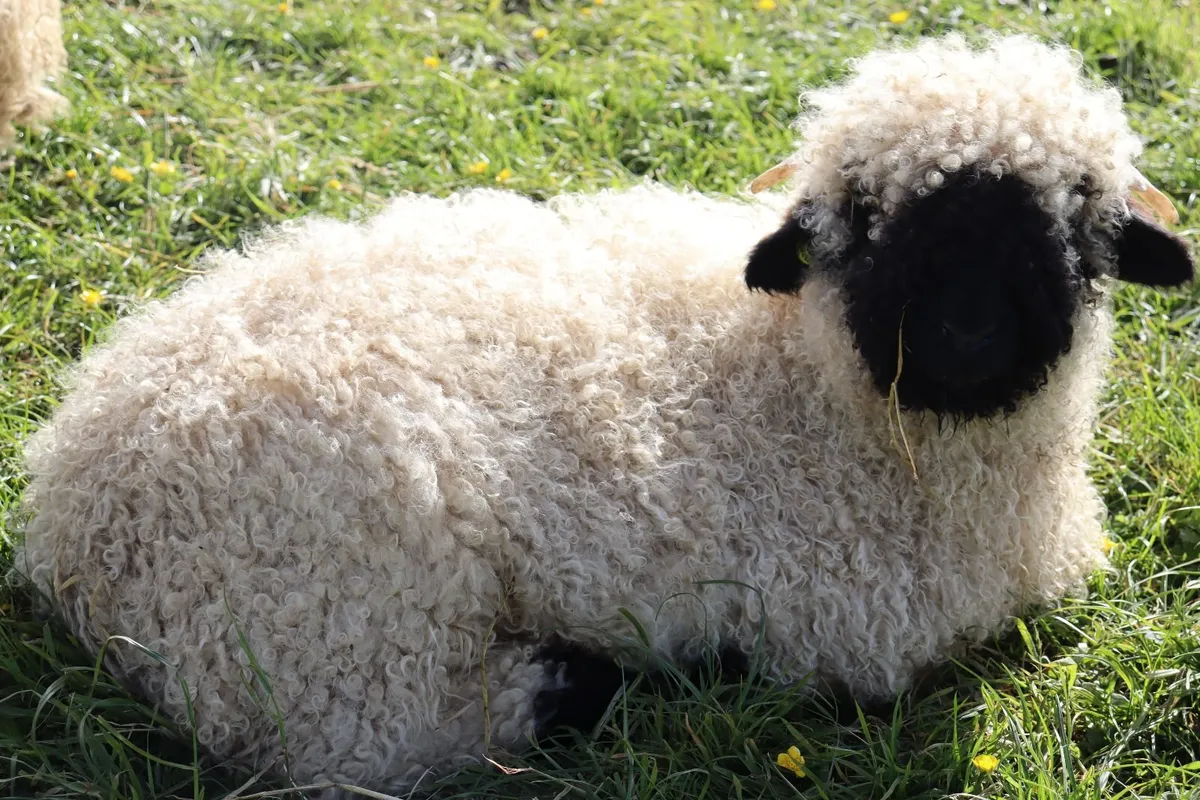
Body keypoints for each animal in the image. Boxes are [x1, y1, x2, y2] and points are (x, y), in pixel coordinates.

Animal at [15, 33, 1195, 794]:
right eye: (863, 219)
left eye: (1074, 215)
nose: (962, 334)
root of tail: (71, 506)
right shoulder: (853, 629)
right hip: (326, 608)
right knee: (373, 741)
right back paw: (588, 681)